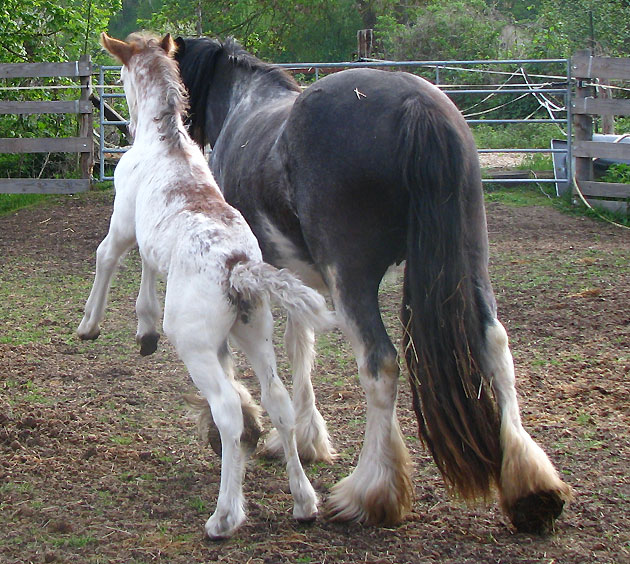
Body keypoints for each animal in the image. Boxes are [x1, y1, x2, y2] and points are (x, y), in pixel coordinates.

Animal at [173, 36, 572, 532]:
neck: (247, 106)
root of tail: (416, 104)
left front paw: (246, 426)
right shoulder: (296, 279)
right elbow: (300, 346)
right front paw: (304, 439)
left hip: (353, 278)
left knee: (380, 363)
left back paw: (370, 493)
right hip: (470, 258)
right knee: (495, 346)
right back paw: (532, 490)